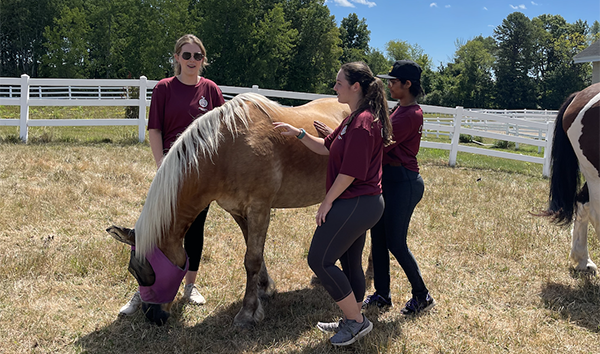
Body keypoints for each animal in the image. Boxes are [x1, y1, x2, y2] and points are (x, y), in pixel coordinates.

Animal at [108, 92, 352, 326]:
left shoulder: (259, 208)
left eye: (146, 272)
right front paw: (264, 289)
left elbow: (252, 260)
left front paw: (248, 312)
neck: (225, 149)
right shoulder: (238, 212)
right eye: (132, 271)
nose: (153, 316)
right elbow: (255, 254)